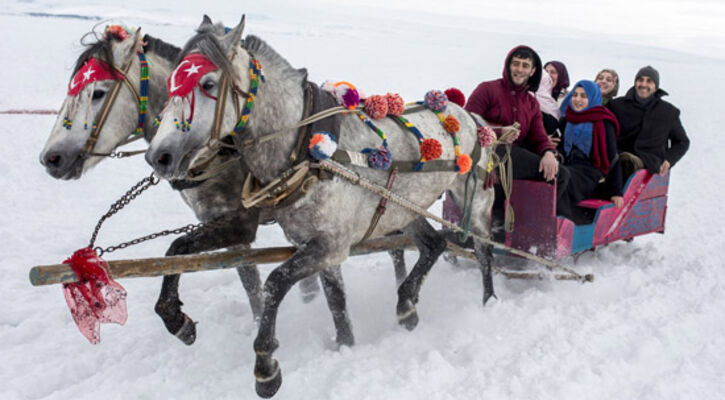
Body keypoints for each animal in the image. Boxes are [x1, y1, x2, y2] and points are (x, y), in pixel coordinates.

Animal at [146, 16, 498, 396]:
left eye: (208, 83)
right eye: (171, 82)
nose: (158, 156)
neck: (307, 149)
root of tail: (471, 116)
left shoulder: (331, 245)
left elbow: (275, 282)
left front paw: (266, 367)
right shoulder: (306, 240)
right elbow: (333, 298)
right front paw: (175, 317)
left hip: (475, 203)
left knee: (483, 250)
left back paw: (489, 302)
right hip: (404, 209)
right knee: (434, 244)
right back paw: (406, 305)